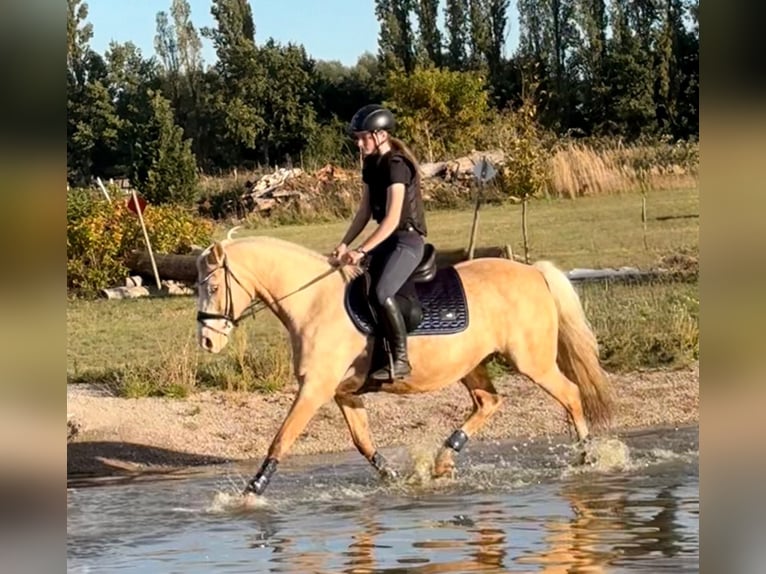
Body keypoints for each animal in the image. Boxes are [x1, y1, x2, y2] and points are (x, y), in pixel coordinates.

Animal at [195, 232, 614, 496]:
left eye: (213, 287)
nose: (208, 341)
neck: (313, 302)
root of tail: (533, 271)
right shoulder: (343, 393)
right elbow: (363, 443)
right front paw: (395, 480)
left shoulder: (314, 388)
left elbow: (281, 438)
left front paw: (252, 491)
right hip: (471, 364)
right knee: (489, 401)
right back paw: (443, 461)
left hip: (532, 362)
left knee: (570, 394)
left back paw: (587, 457)